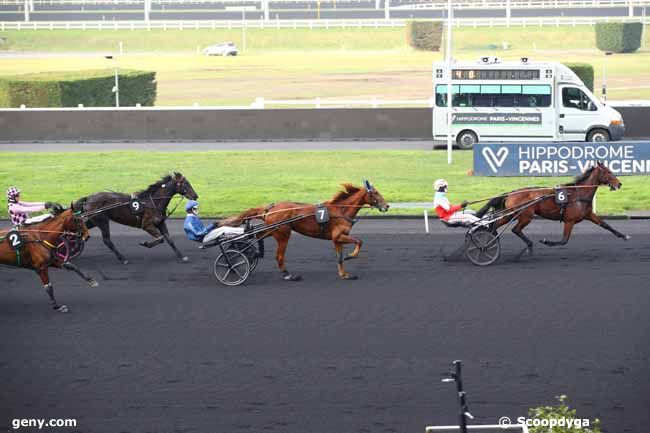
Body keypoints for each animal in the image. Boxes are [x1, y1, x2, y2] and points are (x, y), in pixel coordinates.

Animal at [220, 179, 388, 280]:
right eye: (375, 193)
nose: (386, 206)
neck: (341, 210)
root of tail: (270, 208)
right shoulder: (338, 236)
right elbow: (359, 241)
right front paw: (350, 256)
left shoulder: (337, 239)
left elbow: (339, 258)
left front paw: (344, 274)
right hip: (283, 233)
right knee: (279, 256)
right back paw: (288, 275)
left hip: (272, 230)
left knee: (256, 236)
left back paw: (245, 254)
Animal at [476, 161, 628, 255]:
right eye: (608, 172)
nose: (619, 184)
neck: (579, 194)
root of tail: (511, 193)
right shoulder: (569, 220)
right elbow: (564, 240)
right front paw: (546, 241)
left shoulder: (589, 215)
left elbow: (606, 225)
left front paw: (624, 235)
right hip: (525, 216)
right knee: (515, 229)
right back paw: (527, 245)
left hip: (509, 214)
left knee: (494, 226)